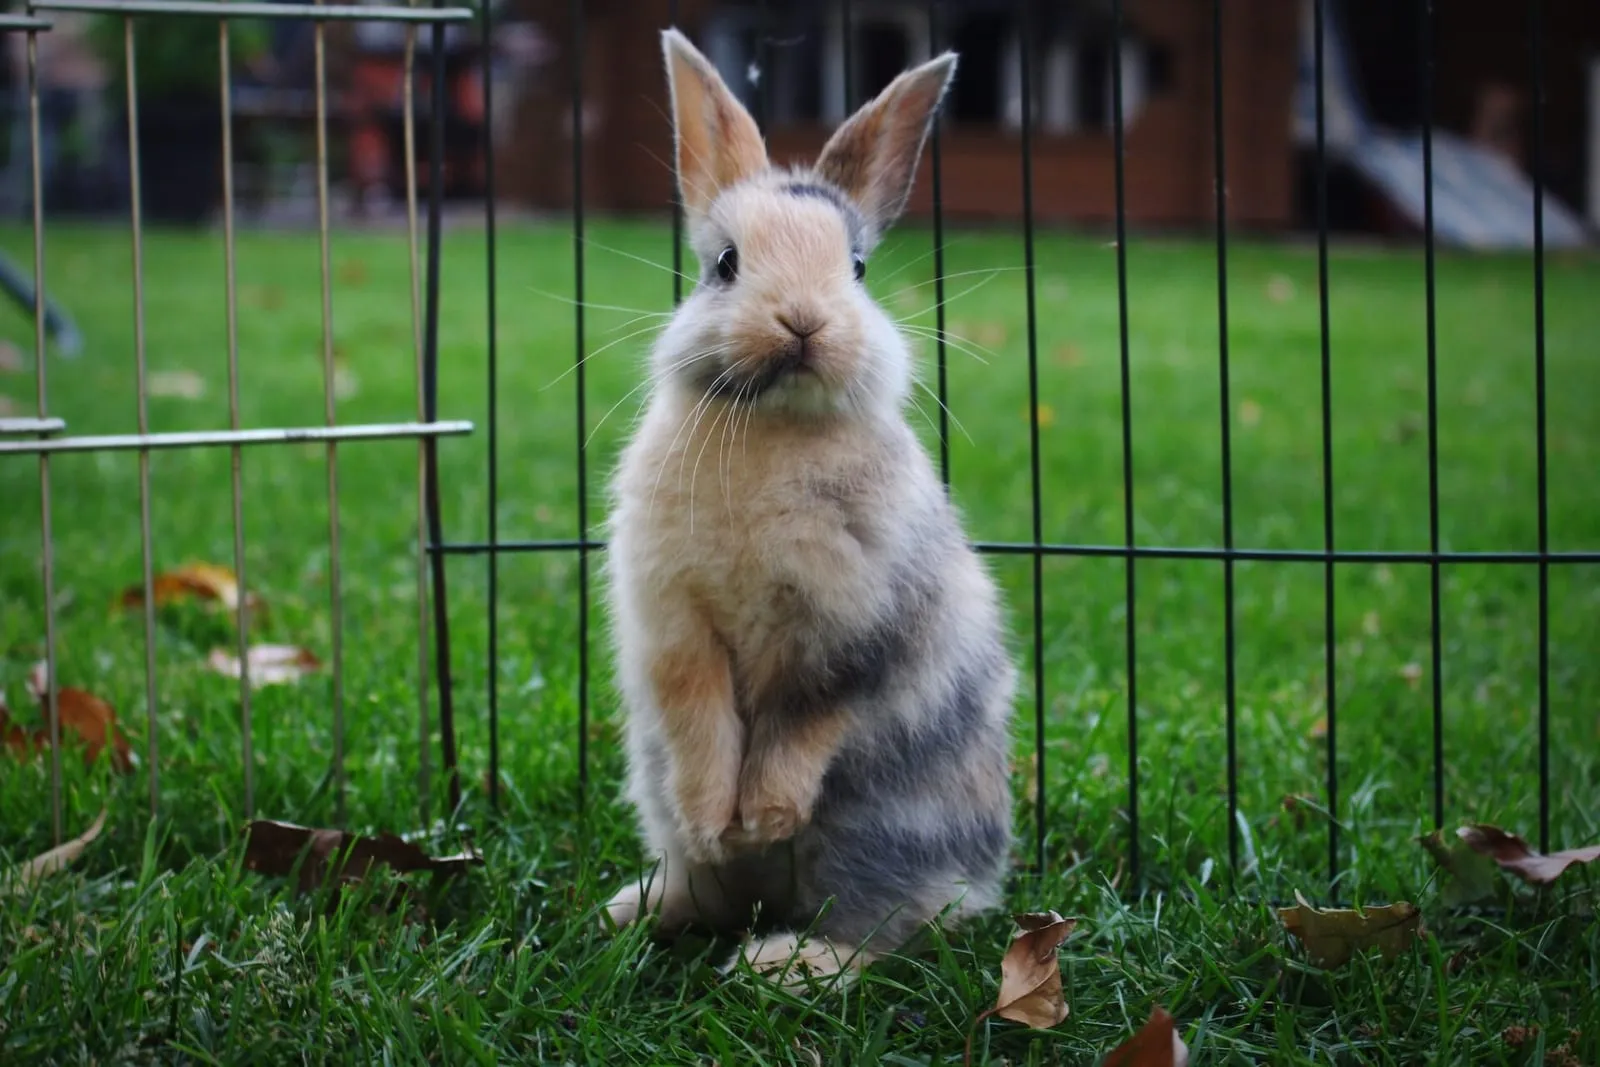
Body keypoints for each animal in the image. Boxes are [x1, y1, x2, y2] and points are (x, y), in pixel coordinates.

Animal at [599, 27, 1018, 987]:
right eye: (724, 264)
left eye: (856, 267)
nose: (803, 321)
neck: (774, 427)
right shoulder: (675, 619)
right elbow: (698, 708)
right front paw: (722, 814)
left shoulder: (848, 628)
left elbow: (807, 716)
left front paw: (767, 815)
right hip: (662, 806)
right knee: (705, 880)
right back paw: (636, 908)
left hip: (882, 829)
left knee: (884, 924)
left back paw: (785, 961)